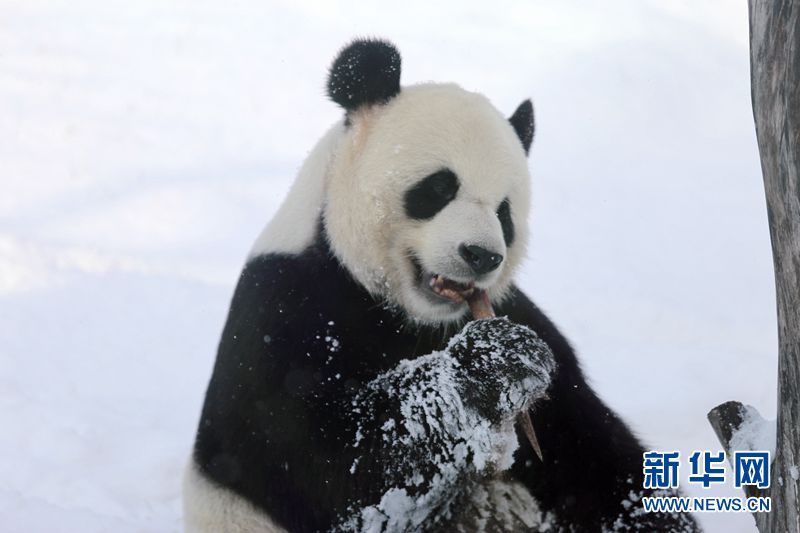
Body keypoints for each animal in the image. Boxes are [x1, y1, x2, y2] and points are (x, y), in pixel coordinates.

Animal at [184, 39, 696, 528]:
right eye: (438, 188)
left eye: (504, 213)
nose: (483, 255)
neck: (412, 317)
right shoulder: (282, 313)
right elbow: (337, 472)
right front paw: (493, 363)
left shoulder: (529, 325)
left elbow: (595, 459)